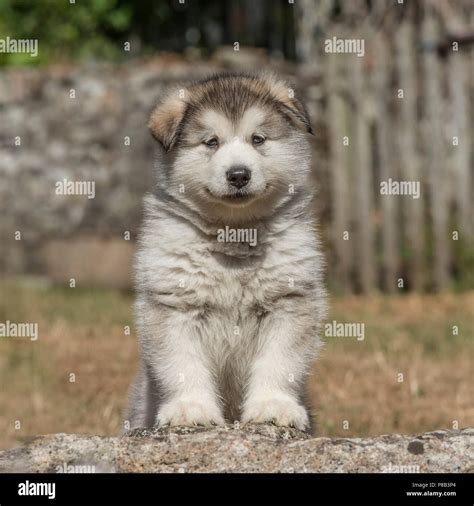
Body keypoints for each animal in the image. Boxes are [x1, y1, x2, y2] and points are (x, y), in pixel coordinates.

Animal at [126, 73, 326, 432]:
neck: (234, 233)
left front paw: (273, 406)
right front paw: (190, 408)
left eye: (258, 139)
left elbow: (279, 362)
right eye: (211, 142)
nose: (238, 174)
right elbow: (183, 364)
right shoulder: (175, 305)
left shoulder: (289, 302)